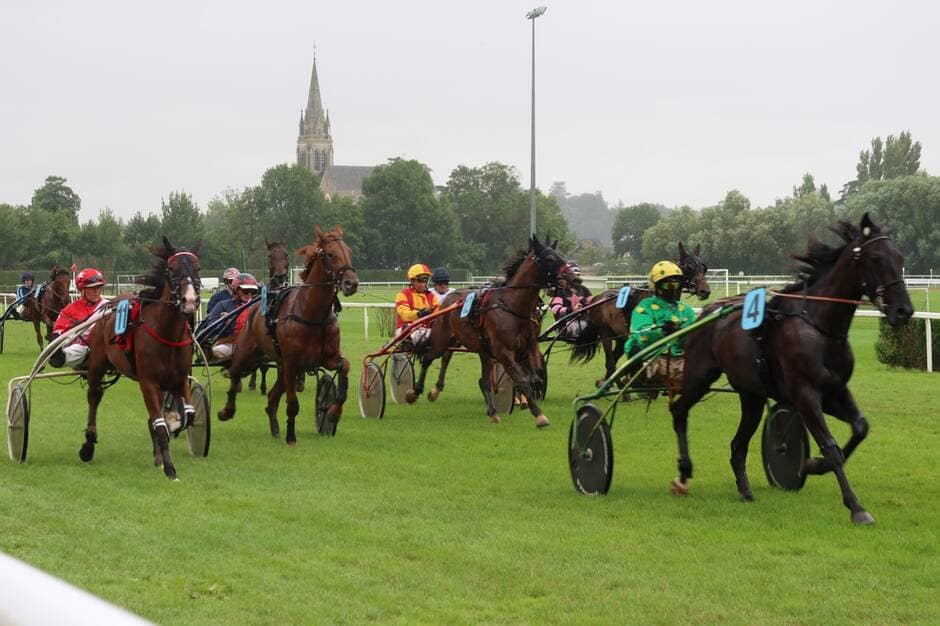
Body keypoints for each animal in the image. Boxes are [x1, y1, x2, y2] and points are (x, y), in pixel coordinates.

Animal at [84, 238, 202, 478]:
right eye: (171, 269)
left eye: (197, 268)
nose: (190, 300)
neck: (167, 334)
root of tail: (109, 304)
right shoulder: (148, 382)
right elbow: (161, 425)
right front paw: (170, 468)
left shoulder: (180, 380)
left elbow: (188, 416)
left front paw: (169, 431)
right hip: (97, 364)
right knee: (94, 396)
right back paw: (88, 444)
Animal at [218, 225, 358, 444]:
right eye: (330, 254)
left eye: (349, 252)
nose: (351, 283)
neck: (312, 314)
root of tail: (253, 309)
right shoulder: (292, 363)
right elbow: (292, 404)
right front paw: (291, 436)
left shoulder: (327, 358)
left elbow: (344, 368)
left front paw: (333, 412)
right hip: (247, 352)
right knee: (235, 373)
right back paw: (227, 410)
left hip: (281, 365)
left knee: (272, 398)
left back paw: (275, 428)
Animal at [410, 232, 564, 426]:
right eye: (550, 258)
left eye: (560, 255)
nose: (574, 276)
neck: (511, 307)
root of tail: (447, 299)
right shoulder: (504, 352)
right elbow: (521, 381)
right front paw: (538, 415)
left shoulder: (526, 348)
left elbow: (532, 377)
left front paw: (527, 401)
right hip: (442, 339)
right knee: (430, 358)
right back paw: (418, 391)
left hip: (478, 348)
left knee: (475, 374)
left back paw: (491, 410)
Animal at [564, 243, 712, 380]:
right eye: (689, 267)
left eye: (703, 268)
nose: (704, 291)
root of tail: (597, 298)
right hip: (605, 333)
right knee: (610, 363)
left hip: (620, 337)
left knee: (613, 361)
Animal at [664, 214, 916, 520]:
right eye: (877, 258)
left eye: (900, 257)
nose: (904, 310)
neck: (820, 326)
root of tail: (709, 313)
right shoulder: (805, 393)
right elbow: (831, 447)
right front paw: (856, 507)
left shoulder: (835, 390)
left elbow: (860, 428)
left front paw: (811, 465)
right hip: (700, 376)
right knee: (679, 410)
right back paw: (684, 472)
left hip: (751, 394)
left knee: (737, 445)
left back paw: (745, 491)